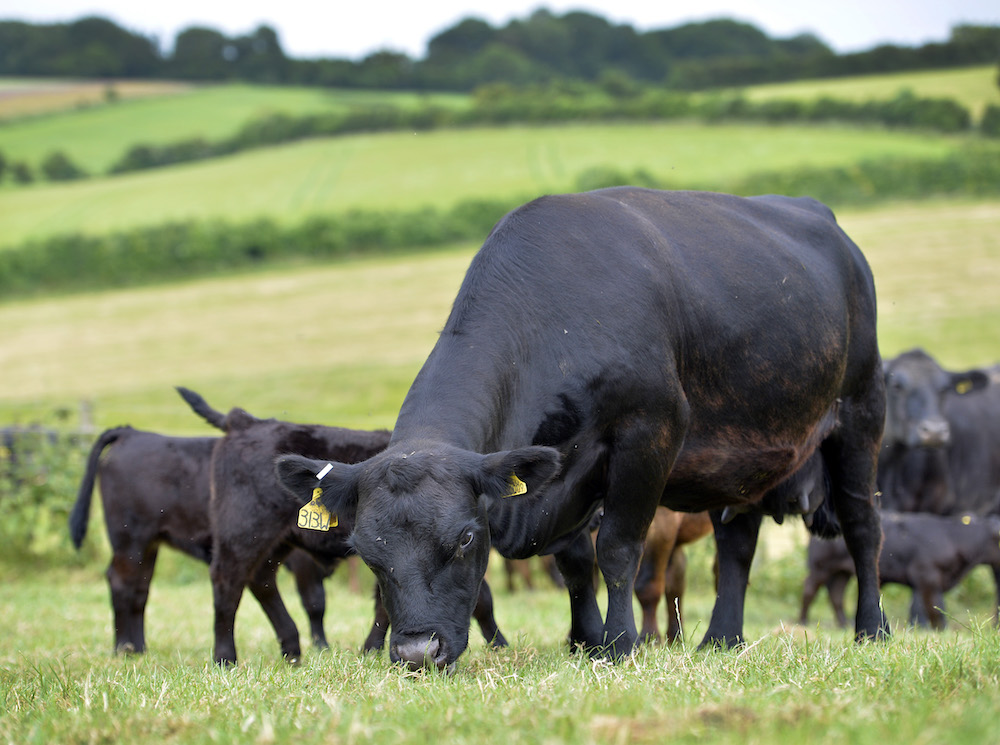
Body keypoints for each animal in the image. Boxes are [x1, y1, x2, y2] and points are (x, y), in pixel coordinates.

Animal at [274, 187, 884, 676]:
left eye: (466, 538)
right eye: (365, 552)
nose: (416, 653)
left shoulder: (649, 431)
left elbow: (615, 548)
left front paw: (619, 645)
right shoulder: (563, 473)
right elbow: (574, 564)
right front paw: (586, 640)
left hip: (860, 413)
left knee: (863, 526)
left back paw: (872, 628)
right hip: (745, 454)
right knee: (736, 543)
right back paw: (721, 640)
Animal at [800, 512, 1000, 628]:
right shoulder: (927, 576)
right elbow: (934, 608)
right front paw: (941, 630)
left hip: (841, 572)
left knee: (836, 595)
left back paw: (844, 623)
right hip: (821, 567)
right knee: (809, 590)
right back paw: (803, 621)